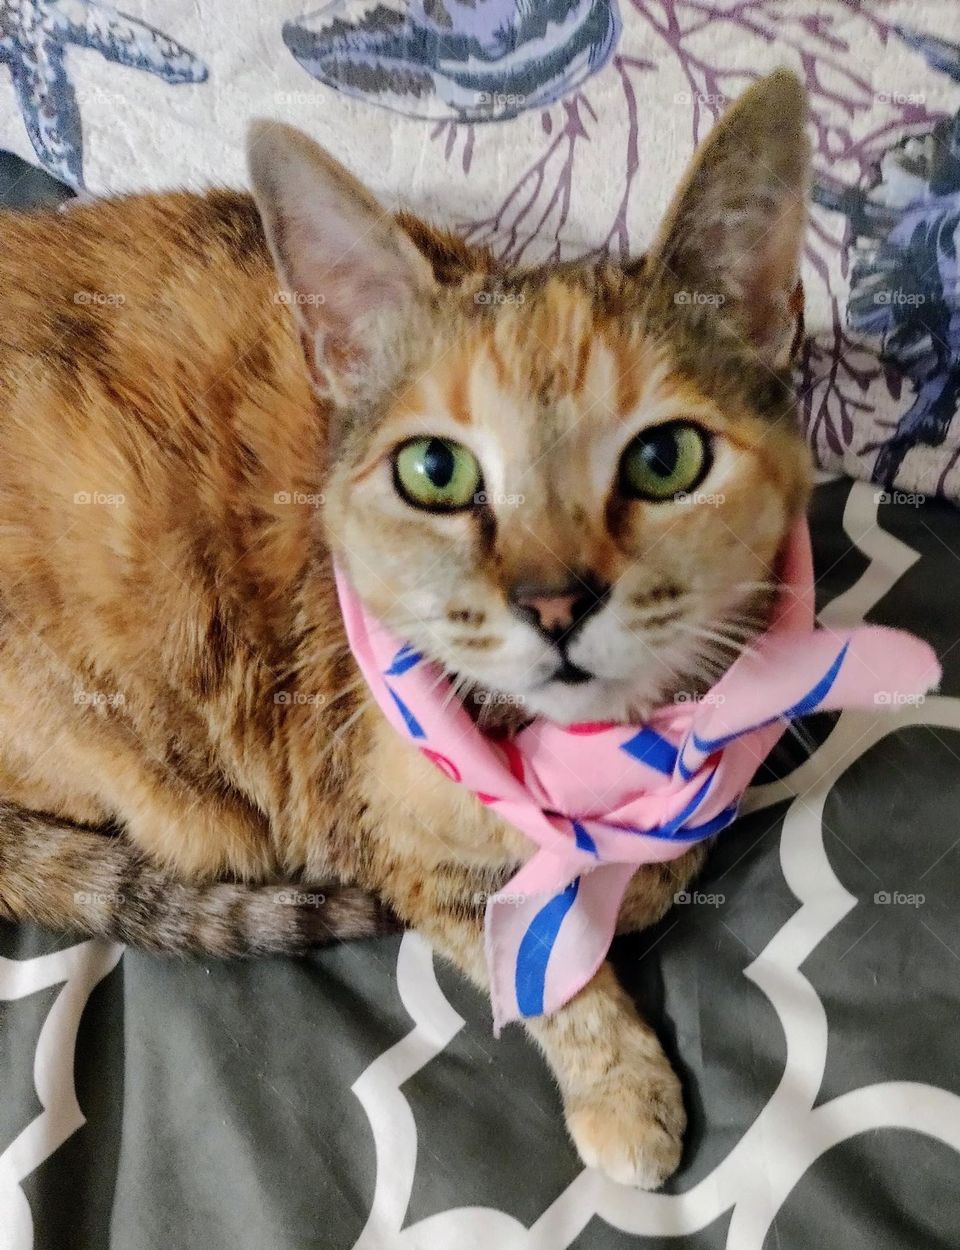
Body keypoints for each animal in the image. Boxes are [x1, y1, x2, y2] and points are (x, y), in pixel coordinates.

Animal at [0, 73, 810, 1185]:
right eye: (437, 471)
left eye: (665, 460)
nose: (554, 601)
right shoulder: (402, 849)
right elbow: (536, 951)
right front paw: (619, 1084)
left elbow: (674, 846)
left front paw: (643, 879)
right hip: (142, 775)